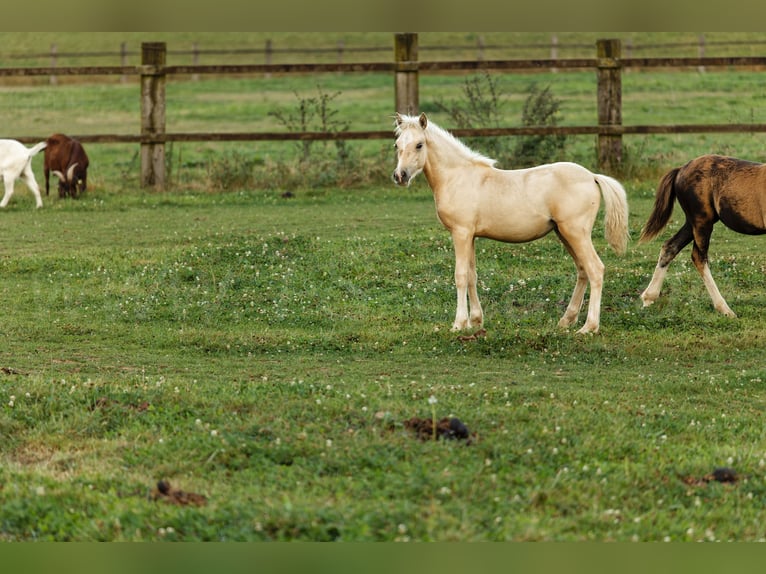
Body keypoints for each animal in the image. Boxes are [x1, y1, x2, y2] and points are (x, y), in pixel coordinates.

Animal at [640, 154, 766, 320]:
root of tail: (681, 169)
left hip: (691, 223)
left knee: (670, 247)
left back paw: (649, 298)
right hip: (702, 221)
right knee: (698, 257)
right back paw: (725, 309)